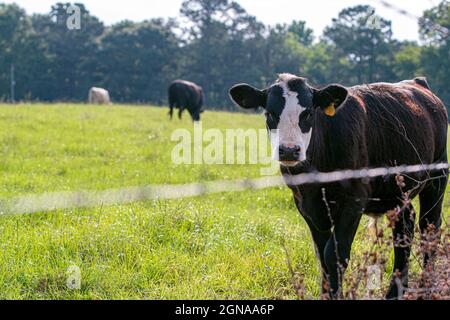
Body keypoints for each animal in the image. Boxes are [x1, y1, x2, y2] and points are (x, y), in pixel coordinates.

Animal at [230, 74, 448, 298]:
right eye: (269, 113)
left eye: (308, 113)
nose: (289, 150)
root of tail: (418, 83)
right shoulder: (307, 205)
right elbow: (322, 254)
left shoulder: (354, 200)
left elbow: (334, 254)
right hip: (396, 192)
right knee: (404, 227)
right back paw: (395, 291)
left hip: (437, 176)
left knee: (429, 226)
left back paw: (425, 287)